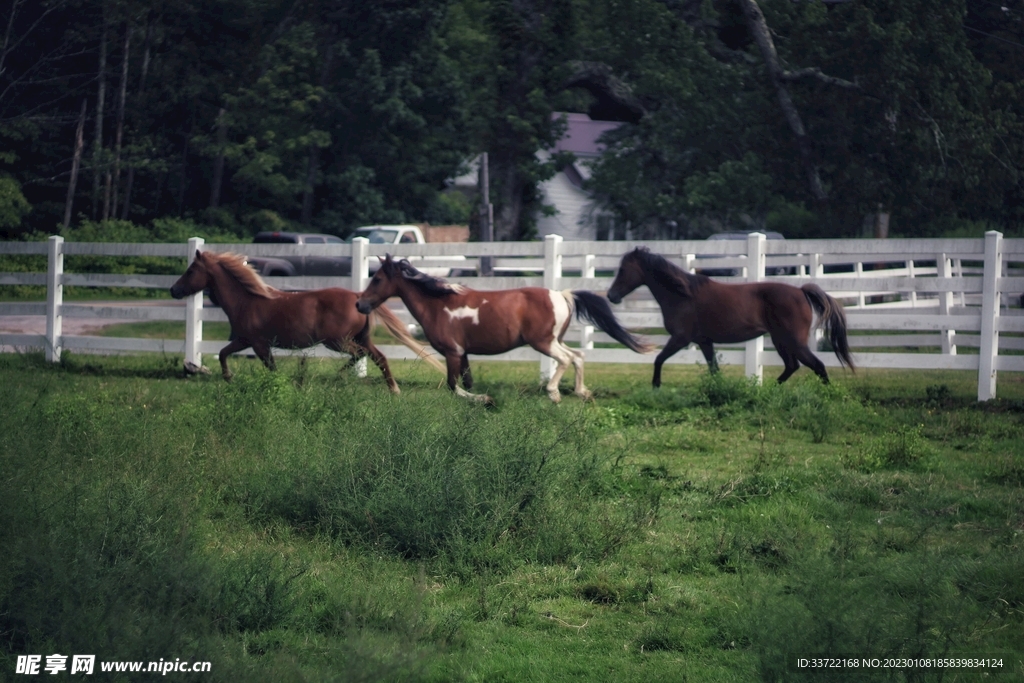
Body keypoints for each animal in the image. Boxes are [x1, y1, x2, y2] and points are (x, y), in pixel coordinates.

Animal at [169, 250, 444, 391]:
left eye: (191, 270)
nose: (173, 290)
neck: (247, 300)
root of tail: (358, 297)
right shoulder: (244, 340)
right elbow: (224, 352)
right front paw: (228, 377)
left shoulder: (257, 344)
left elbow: (269, 367)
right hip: (359, 338)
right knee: (378, 357)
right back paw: (392, 389)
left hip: (338, 341)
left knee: (359, 355)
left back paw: (339, 377)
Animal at [354, 255, 652, 403]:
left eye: (377, 278)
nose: (360, 304)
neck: (438, 304)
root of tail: (562, 294)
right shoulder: (463, 354)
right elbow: (464, 381)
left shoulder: (453, 352)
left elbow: (453, 385)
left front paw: (483, 399)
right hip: (555, 340)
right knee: (579, 356)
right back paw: (582, 392)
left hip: (544, 342)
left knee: (566, 359)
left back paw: (554, 393)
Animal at [606, 247, 854, 387]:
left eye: (623, 270)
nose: (611, 296)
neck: (683, 294)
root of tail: (801, 291)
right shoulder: (704, 341)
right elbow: (713, 369)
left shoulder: (680, 339)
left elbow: (658, 359)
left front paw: (656, 385)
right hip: (780, 340)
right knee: (792, 366)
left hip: (793, 341)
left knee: (817, 366)